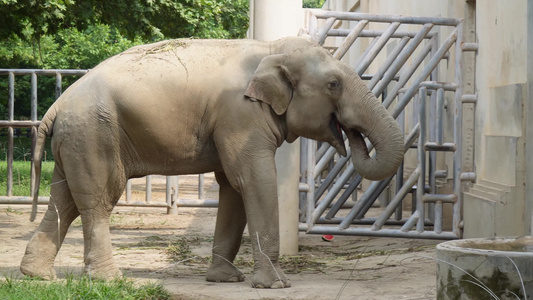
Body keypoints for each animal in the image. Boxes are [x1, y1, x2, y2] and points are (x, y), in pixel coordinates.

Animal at [20, 37, 404, 288]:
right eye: (334, 84)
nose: (350, 135)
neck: (271, 49)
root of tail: (56, 106)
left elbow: (232, 187)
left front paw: (225, 280)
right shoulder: (241, 116)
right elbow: (252, 179)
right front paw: (276, 285)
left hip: (76, 138)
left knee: (64, 200)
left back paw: (37, 276)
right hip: (95, 134)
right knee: (98, 200)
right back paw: (109, 281)